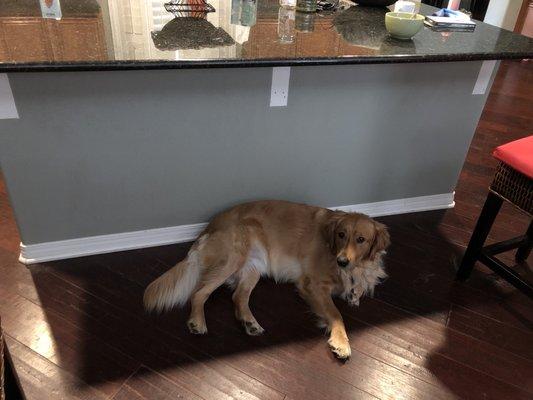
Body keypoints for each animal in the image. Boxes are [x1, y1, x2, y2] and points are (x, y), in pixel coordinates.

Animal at [143, 200, 388, 360]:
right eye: (341, 235)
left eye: (361, 239)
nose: (342, 261)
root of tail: (208, 227)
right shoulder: (313, 285)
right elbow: (336, 314)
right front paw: (341, 343)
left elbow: (357, 289)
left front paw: (354, 294)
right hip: (234, 256)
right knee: (199, 292)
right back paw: (197, 322)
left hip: (254, 267)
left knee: (238, 297)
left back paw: (249, 323)